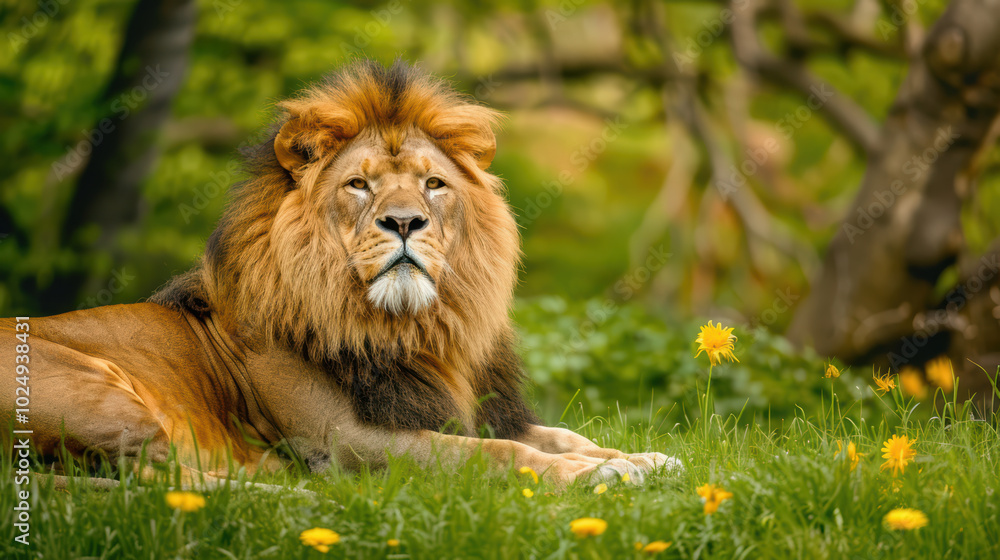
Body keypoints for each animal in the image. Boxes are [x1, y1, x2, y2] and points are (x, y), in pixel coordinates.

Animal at [1, 60, 677, 488]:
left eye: (434, 184)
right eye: (358, 184)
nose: (404, 222)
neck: (413, 330)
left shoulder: (451, 406)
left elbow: (559, 435)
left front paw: (643, 459)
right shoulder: (353, 439)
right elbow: (497, 455)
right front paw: (600, 476)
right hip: (105, 397)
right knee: (160, 479)